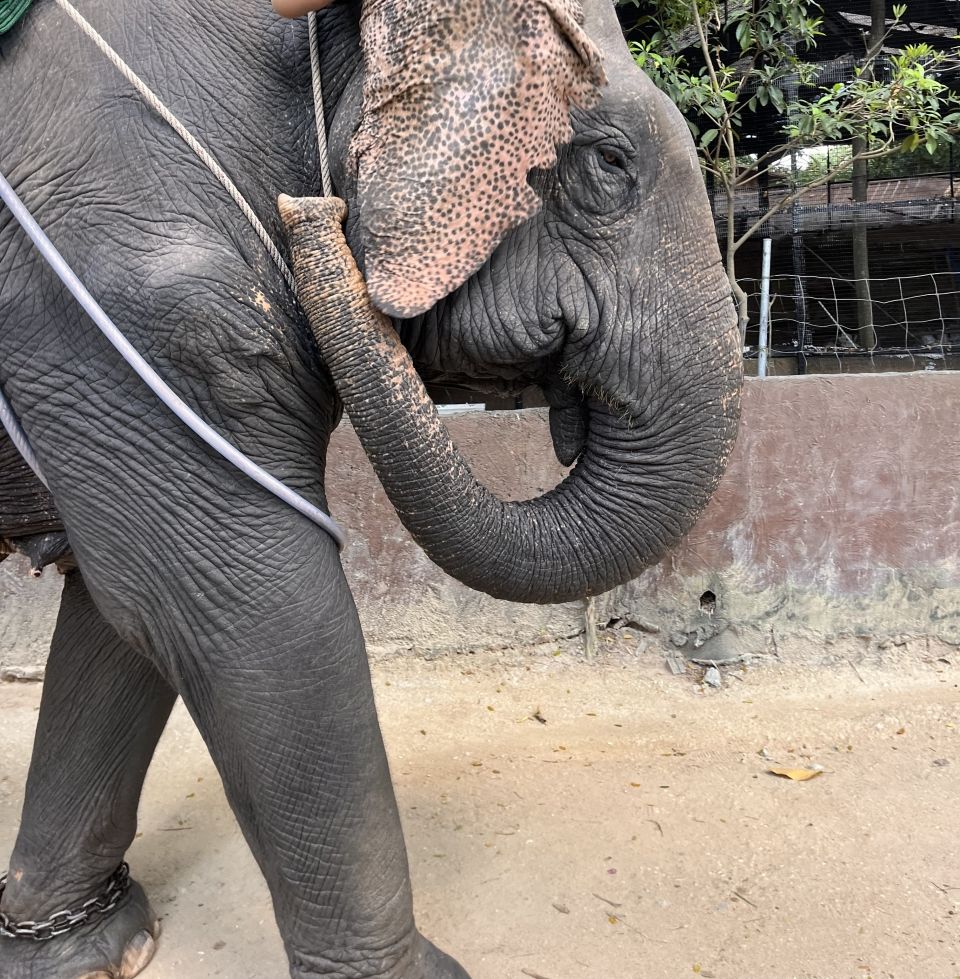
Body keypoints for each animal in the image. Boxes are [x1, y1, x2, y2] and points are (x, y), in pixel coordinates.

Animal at [0, 0, 744, 976]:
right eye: (609, 164)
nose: (307, 214)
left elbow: (123, 614)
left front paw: (78, 949)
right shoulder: (119, 300)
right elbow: (233, 600)